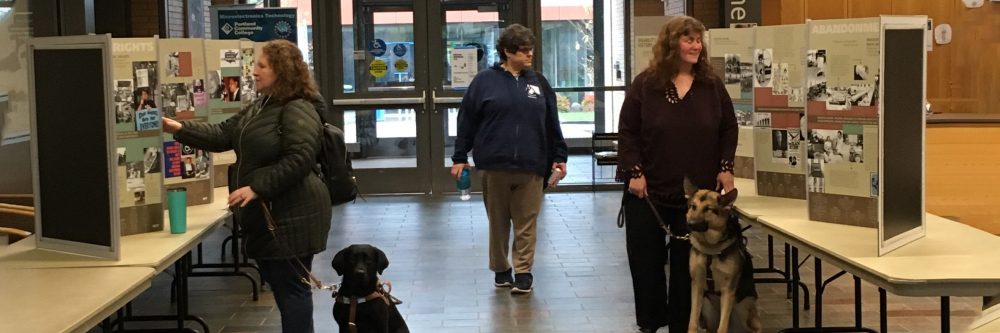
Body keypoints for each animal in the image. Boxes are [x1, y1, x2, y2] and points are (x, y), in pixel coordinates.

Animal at [684, 178, 760, 330]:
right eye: (693, 206)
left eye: (708, 209)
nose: (690, 224)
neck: (710, 249)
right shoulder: (696, 286)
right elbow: (692, 321)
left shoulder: (728, 291)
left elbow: (722, 327)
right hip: (707, 309)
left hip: (743, 308)